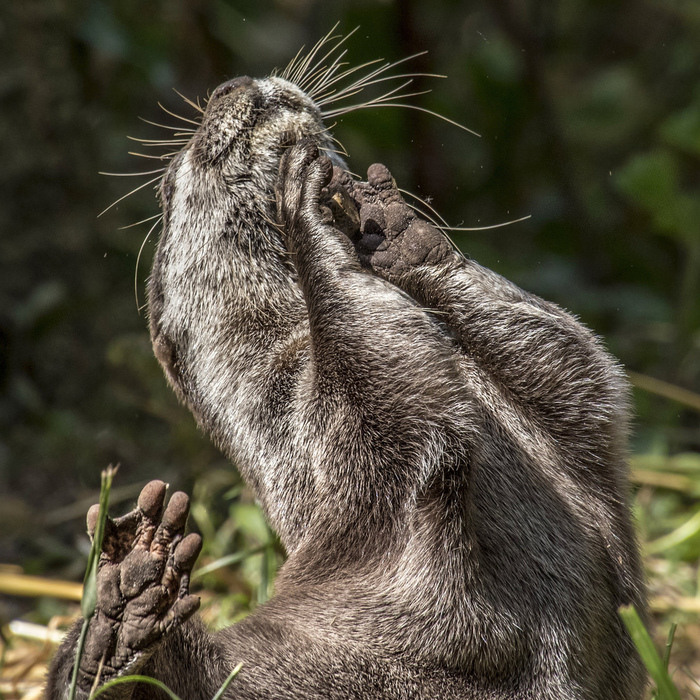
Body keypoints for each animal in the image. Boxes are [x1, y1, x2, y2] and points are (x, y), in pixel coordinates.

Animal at [45, 39, 644, 700]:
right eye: (173, 183)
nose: (226, 86)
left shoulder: (573, 436)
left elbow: (575, 360)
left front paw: (399, 232)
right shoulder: (322, 440)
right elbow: (398, 417)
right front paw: (304, 211)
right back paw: (124, 614)